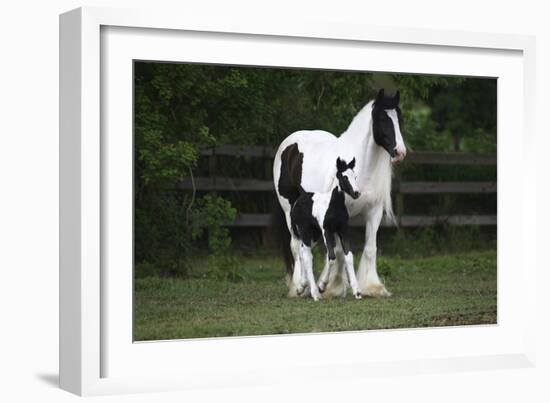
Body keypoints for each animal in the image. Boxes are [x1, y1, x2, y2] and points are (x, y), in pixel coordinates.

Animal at [292, 157, 364, 300]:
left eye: (355, 176)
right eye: (345, 177)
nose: (356, 193)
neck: (334, 205)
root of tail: (301, 196)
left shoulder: (343, 230)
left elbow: (348, 256)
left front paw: (357, 291)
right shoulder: (327, 231)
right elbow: (331, 257)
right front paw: (322, 286)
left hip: (314, 234)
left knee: (302, 252)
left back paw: (301, 287)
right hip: (304, 231)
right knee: (307, 255)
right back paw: (315, 293)